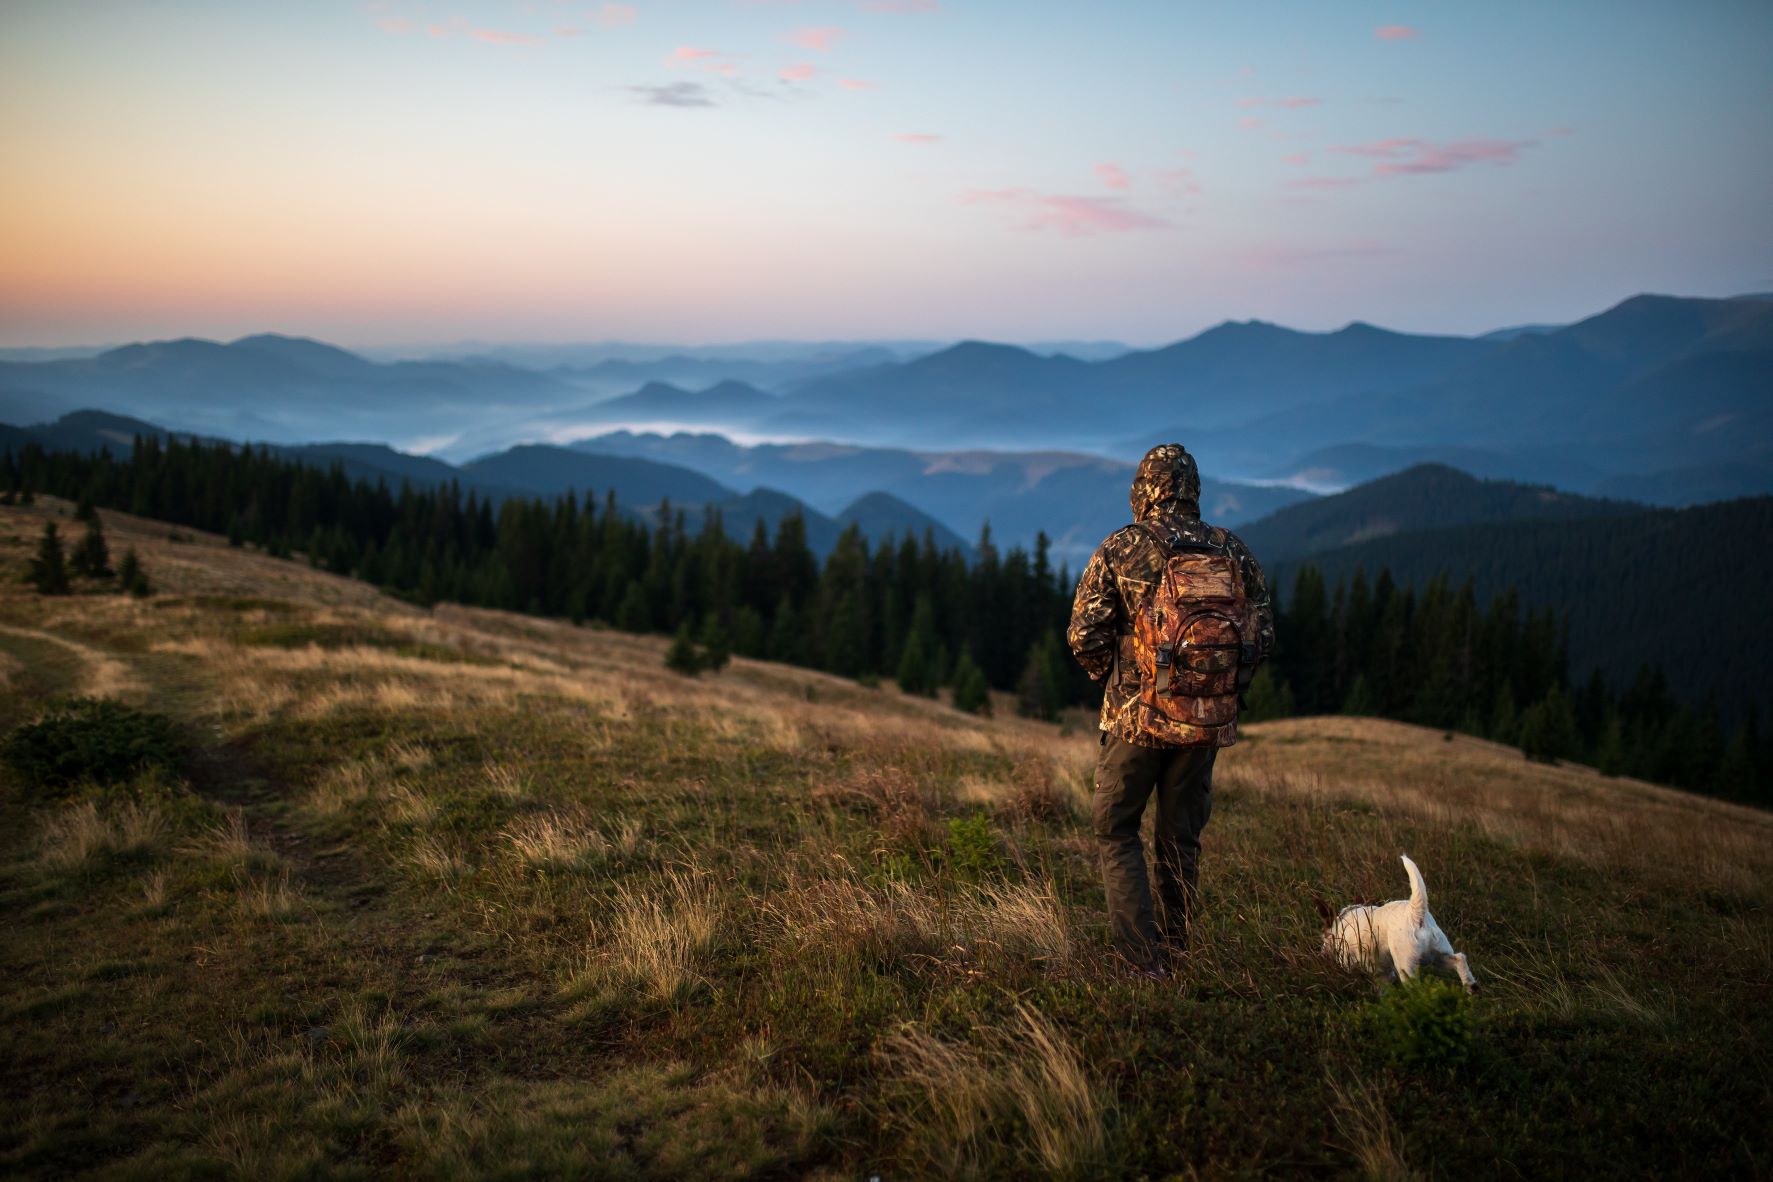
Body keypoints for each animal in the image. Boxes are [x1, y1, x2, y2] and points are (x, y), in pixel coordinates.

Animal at [1326, 854, 1475, 992]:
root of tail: (1415, 913)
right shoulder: (1383, 974)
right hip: (1438, 956)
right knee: (1460, 959)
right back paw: (1471, 988)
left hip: (1407, 966)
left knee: (1415, 987)